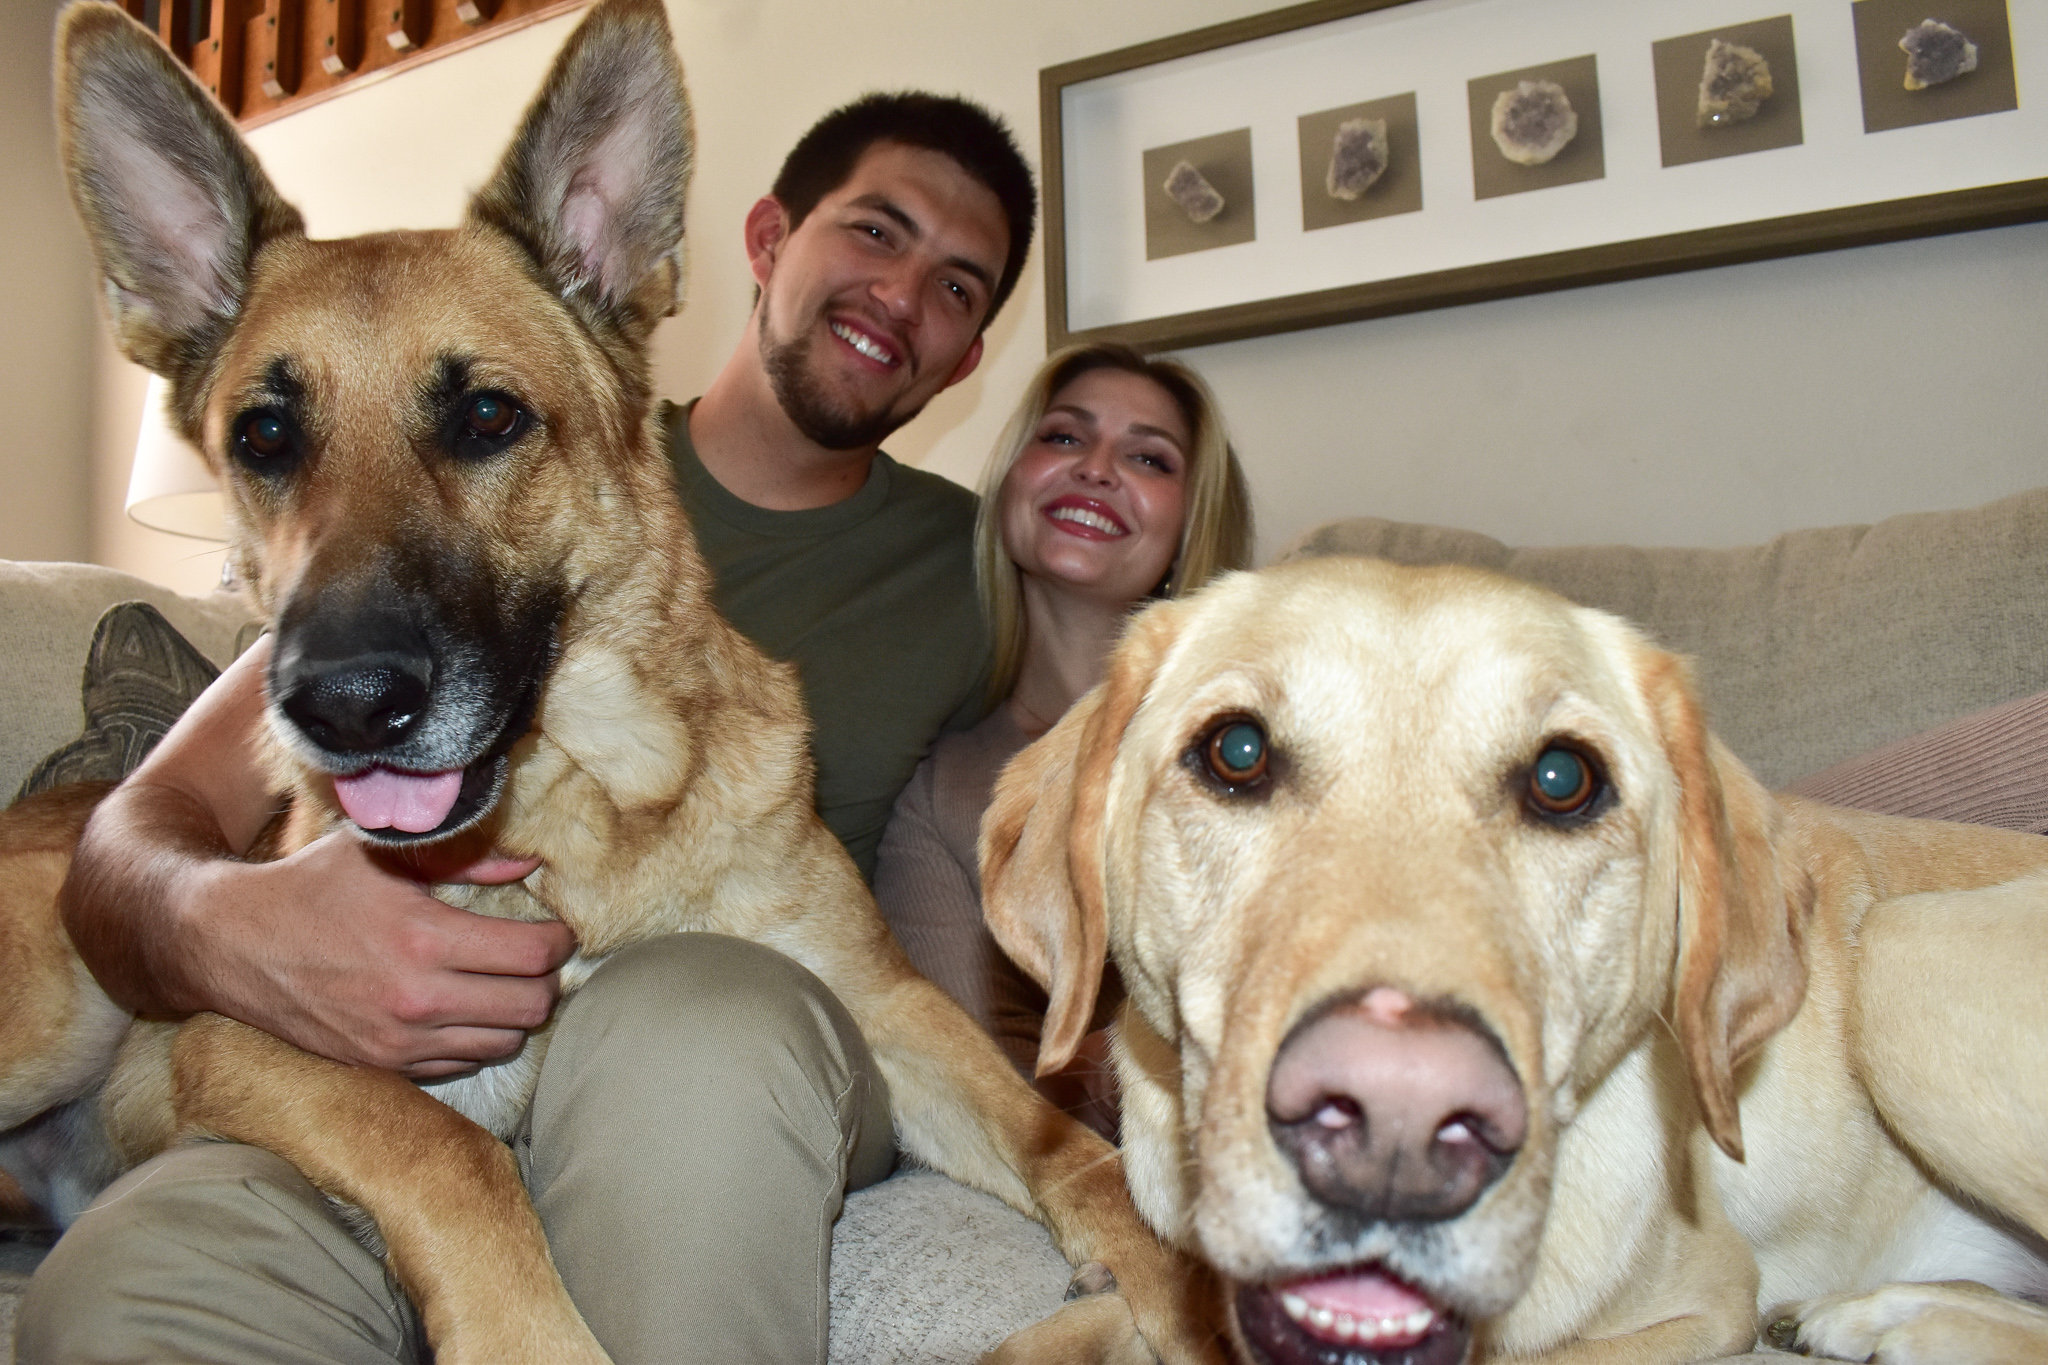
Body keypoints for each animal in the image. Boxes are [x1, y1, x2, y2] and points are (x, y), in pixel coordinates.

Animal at [0, 2, 1212, 1365]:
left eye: (487, 416)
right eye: (262, 438)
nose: (343, 706)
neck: (589, 810)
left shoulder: (886, 1003)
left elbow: (1068, 1147)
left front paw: (1171, 1286)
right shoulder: (245, 1036)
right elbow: (446, 1149)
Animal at [978, 556, 2048, 1365]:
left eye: (1563, 778)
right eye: (1236, 750)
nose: (1396, 1129)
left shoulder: (1707, 1300)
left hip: (1904, 960)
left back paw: (1891, 1318)